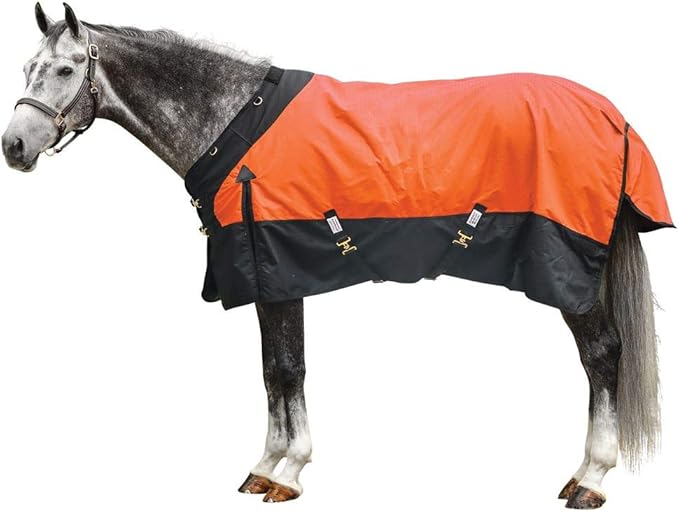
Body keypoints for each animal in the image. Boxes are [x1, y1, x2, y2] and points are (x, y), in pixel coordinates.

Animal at [1, 4, 668, 508]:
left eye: (64, 68)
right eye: (27, 67)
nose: (14, 146)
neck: (234, 122)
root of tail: (613, 116)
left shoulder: (279, 271)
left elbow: (289, 368)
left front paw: (289, 472)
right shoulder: (263, 279)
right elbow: (271, 370)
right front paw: (264, 466)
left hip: (569, 269)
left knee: (602, 355)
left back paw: (590, 479)